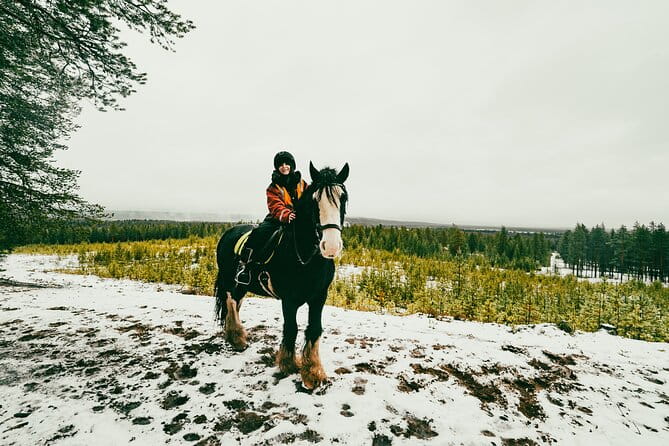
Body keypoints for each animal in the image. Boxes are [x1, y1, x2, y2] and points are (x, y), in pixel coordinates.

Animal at [214, 162, 349, 389]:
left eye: (344, 197)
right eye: (314, 200)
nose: (331, 246)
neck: (305, 256)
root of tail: (228, 233)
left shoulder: (319, 297)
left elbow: (314, 329)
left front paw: (313, 372)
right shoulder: (289, 299)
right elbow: (291, 328)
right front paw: (288, 364)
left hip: (241, 285)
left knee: (235, 302)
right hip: (229, 279)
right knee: (230, 300)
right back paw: (237, 338)